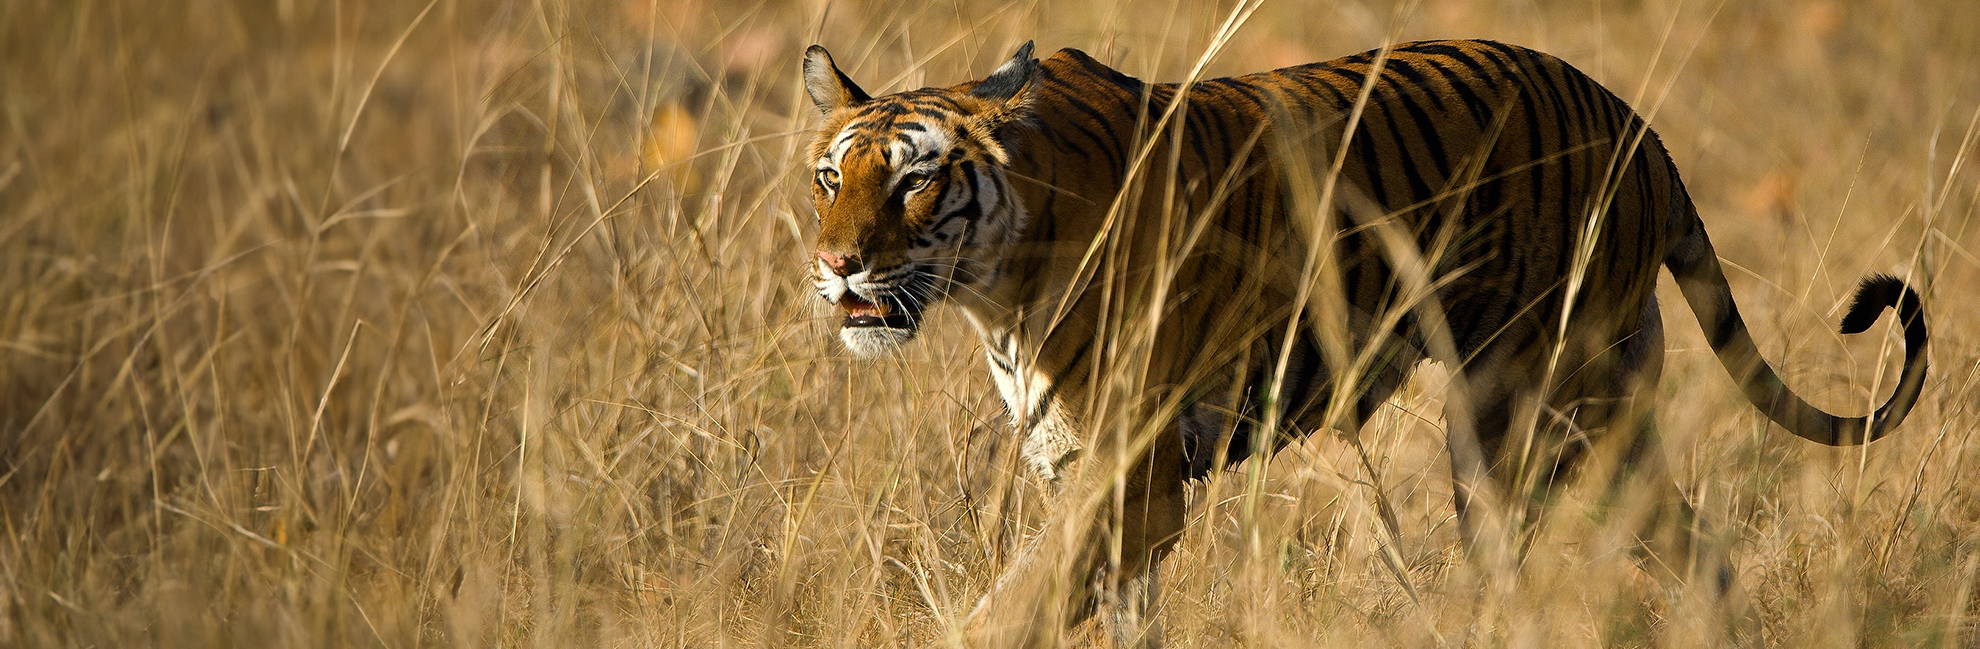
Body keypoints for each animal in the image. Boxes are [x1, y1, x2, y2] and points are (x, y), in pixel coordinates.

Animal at [801, 39, 1928, 647]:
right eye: (830, 178)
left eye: (916, 181)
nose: (839, 265)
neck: (996, 286)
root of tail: (1639, 126)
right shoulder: (1080, 467)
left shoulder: (1133, 473)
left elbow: (1017, 601)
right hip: (1601, 421)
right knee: (1696, 550)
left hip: (1526, 412)